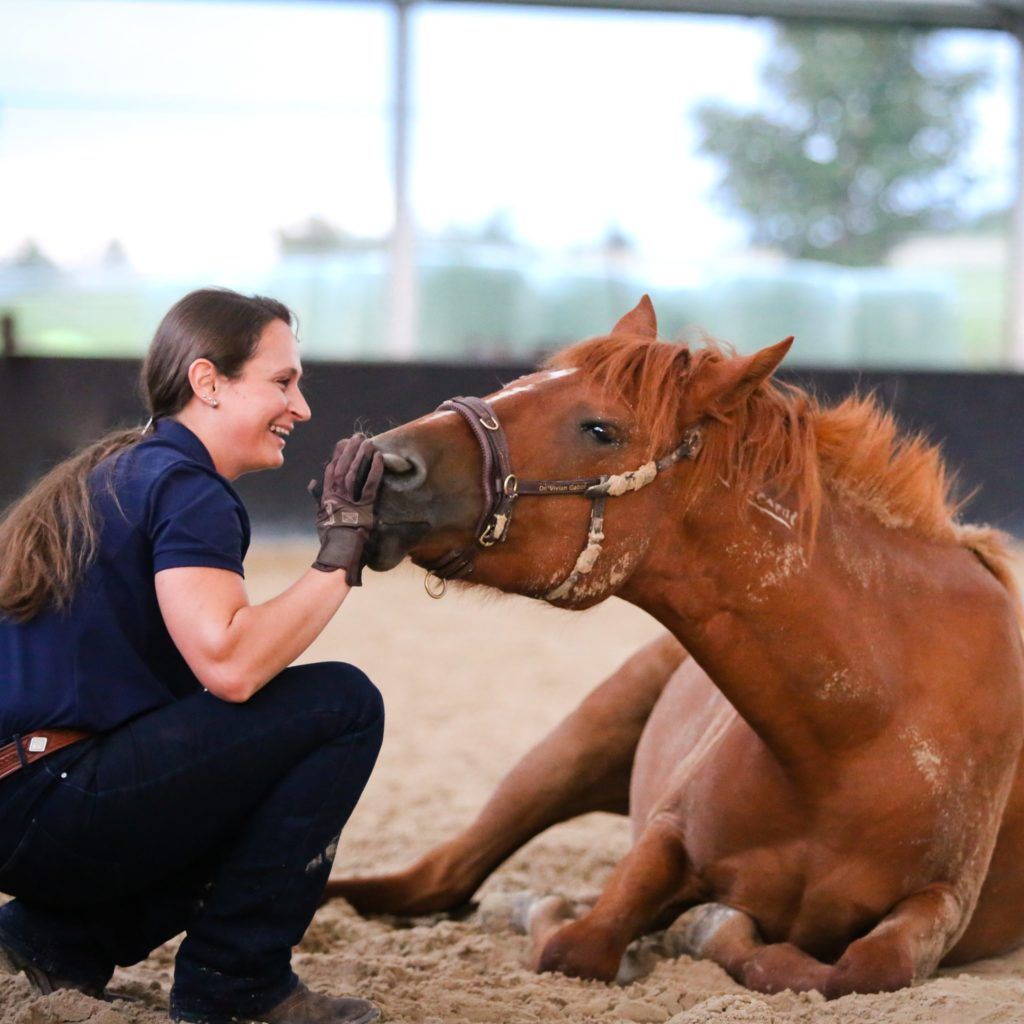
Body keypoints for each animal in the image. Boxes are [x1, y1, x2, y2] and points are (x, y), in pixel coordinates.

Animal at [326, 297, 1024, 998]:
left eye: (600, 429)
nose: (386, 463)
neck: (858, 735)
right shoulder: (667, 834)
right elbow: (578, 945)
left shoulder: (939, 903)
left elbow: (866, 968)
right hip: (572, 748)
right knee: (437, 879)